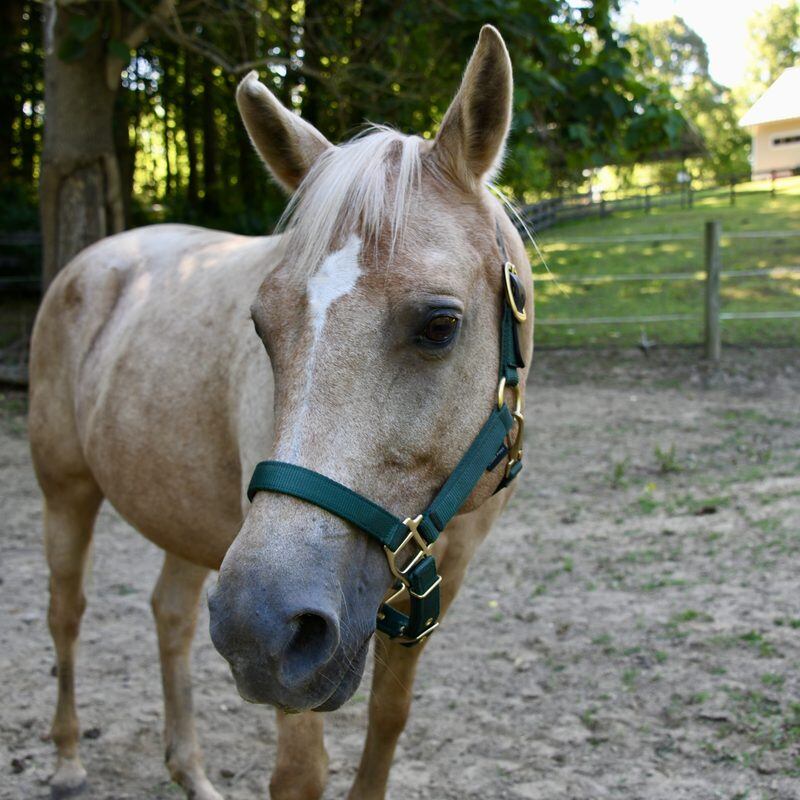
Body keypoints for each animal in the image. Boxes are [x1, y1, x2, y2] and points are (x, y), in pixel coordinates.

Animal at [28, 24, 533, 800]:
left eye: (441, 325)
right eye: (262, 326)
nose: (258, 629)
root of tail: (90, 263)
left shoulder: (432, 587)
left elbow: (387, 725)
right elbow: (301, 773)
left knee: (170, 617)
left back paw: (191, 772)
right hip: (68, 494)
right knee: (66, 615)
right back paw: (66, 757)